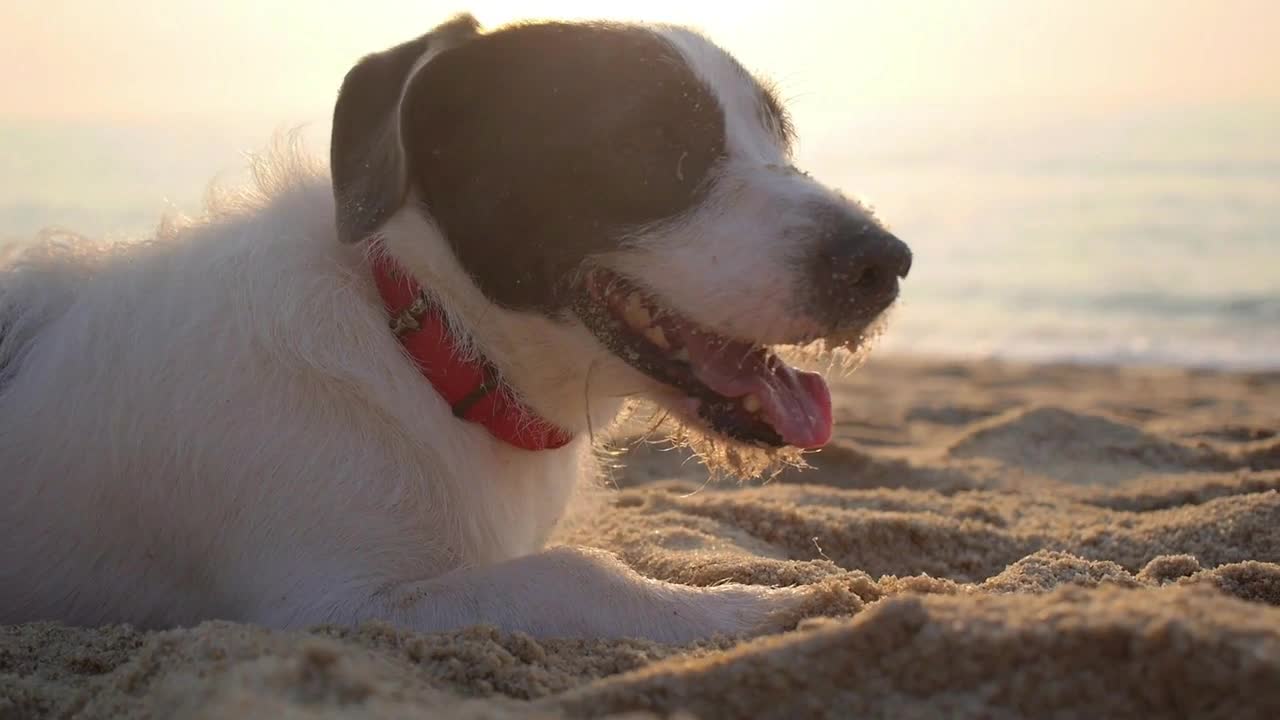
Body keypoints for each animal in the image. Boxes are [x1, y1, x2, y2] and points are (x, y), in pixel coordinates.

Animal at [0, 14, 911, 638]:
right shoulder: (331, 603)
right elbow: (579, 572)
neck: (424, 339)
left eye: (780, 137)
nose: (887, 262)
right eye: (652, 140)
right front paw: (759, 603)